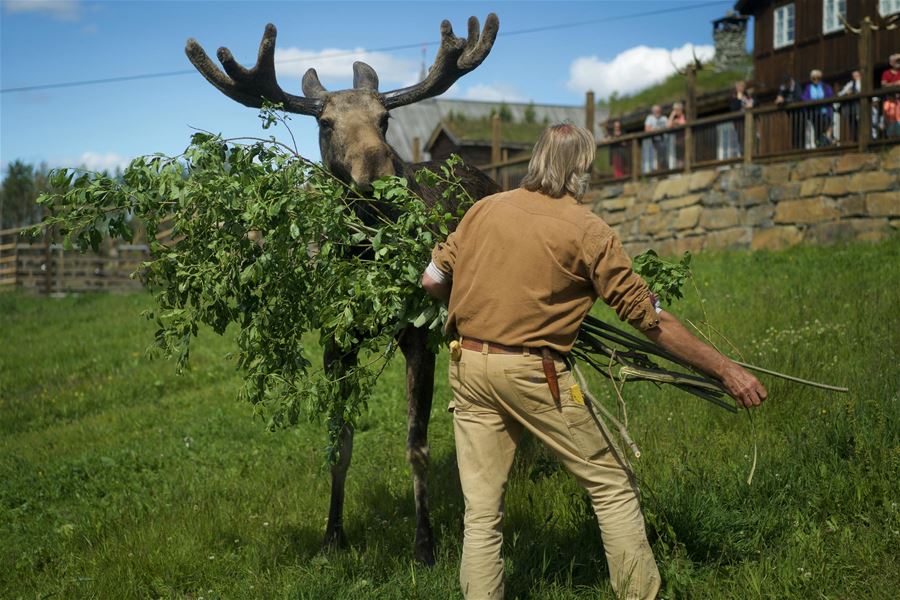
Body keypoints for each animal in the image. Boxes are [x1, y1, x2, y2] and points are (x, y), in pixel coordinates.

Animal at [186, 15, 502, 568]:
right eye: (326, 123)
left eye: (385, 119)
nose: (378, 175)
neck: (363, 254)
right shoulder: (336, 338)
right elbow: (339, 440)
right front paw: (332, 536)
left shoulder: (416, 335)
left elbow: (416, 445)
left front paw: (425, 543)